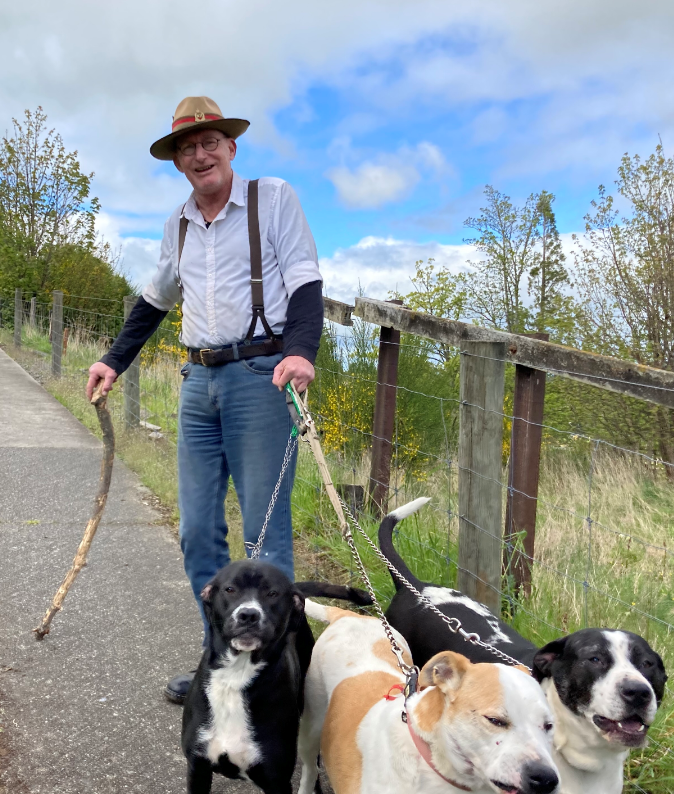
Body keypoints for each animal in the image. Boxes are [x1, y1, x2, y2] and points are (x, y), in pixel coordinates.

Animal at [181, 556, 370, 792]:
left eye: (272, 593)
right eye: (230, 589)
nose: (248, 615)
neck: (237, 675)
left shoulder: (276, 779)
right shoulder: (198, 769)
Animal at [296, 600, 560, 792]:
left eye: (549, 726)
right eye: (495, 721)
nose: (546, 779)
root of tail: (348, 616)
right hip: (310, 730)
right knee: (310, 769)